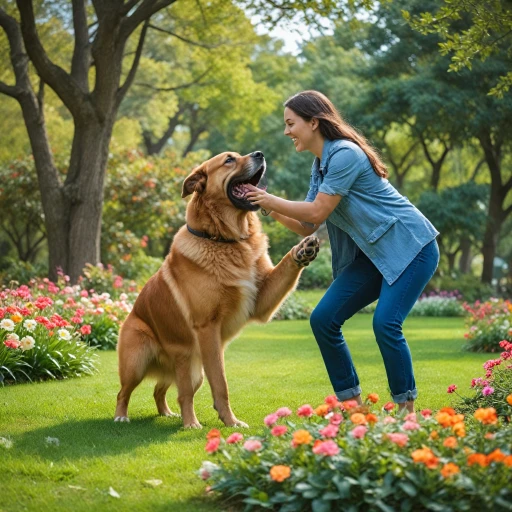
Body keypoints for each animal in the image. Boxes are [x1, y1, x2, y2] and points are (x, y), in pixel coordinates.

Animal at [114, 150, 318, 426]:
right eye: (229, 160)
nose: (259, 153)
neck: (225, 239)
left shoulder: (261, 301)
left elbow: (286, 266)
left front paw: (303, 250)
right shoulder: (208, 329)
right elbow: (221, 384)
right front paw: (231, 422)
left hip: (192, 371)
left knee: (166, 391)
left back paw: (170, 414)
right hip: (139, 362)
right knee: (127, 392)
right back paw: (142, 418)